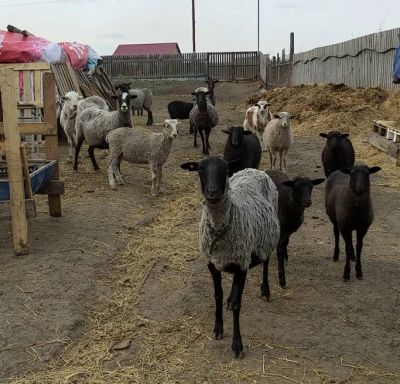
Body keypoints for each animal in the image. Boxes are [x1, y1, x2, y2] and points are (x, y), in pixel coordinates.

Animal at [180, 157, 280, 360]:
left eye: (225, 170)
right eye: (200, 169)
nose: (212, 192)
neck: (220, 226)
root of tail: (254, 170)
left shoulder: (242, 265)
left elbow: (237, 305)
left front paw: (237, 345)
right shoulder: (212, 263)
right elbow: (217, 295)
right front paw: (218, 328)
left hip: (267, 237)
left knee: (266, 262)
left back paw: (265, 290)